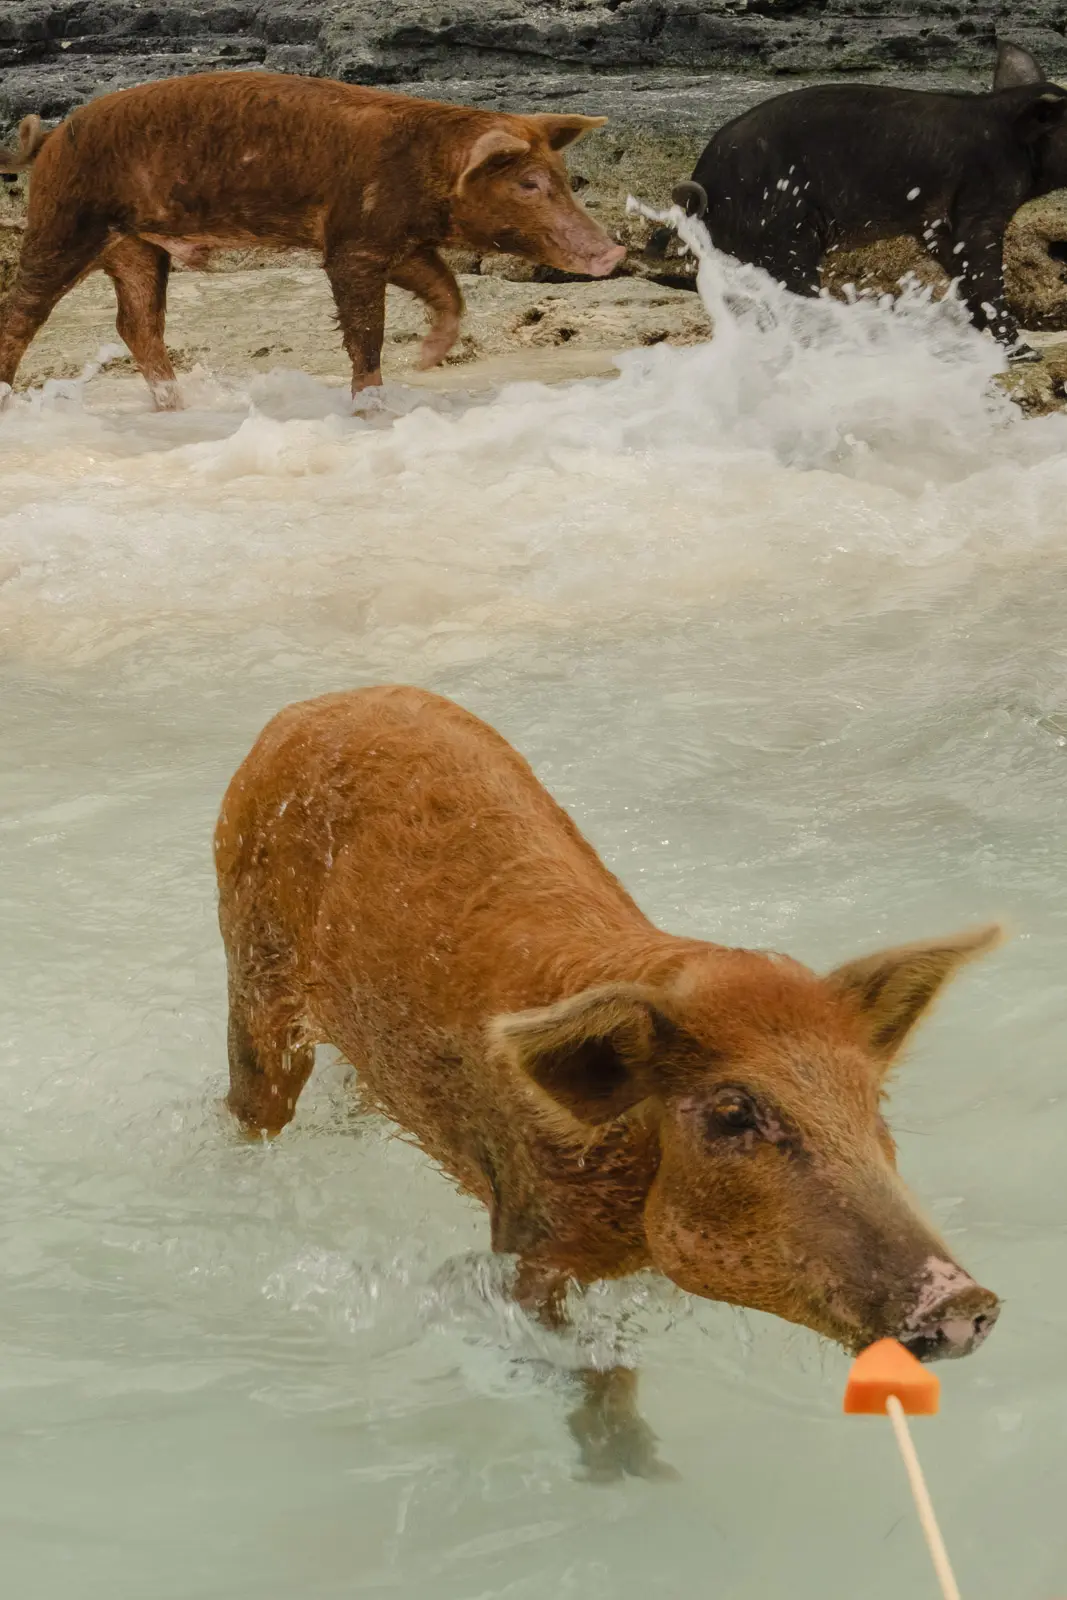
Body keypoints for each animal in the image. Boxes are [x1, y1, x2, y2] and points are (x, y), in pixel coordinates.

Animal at [0, 72, 624, 409]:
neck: (430, 167)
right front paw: (373, 405)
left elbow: (447, 289)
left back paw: (176, 406)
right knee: (23, 311)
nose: (615, 250)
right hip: (66, 219)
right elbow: (365, 329)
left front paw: (427, 358)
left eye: (564, 177)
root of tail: (48, 139)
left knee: (136, 324)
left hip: (137, 246)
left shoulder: (403, 242)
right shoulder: (354, 240)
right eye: (528, 183)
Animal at [215, 685, 1002, 1481]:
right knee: (256, 1099)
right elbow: (589, 1361)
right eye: (732, 1112)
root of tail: (314, 705)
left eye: (870, 1102)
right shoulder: (526, 1241)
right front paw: (635, 1472)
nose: (962, 1299)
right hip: (251, 968)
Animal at [672, 41, 1067, 362]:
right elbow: (986, 273)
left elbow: (962, 271)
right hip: (783, 233)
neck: (1010, 138)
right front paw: (1025, 354)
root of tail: (704, 184)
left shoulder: (934, 225)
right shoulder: (979, 203)